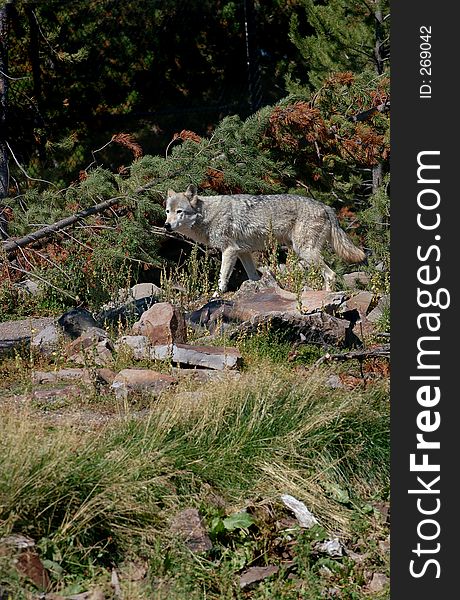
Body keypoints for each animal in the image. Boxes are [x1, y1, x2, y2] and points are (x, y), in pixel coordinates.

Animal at [164, 185, 364, 292]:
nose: (166, 225)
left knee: (331, 275)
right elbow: (253, 277)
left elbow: (222, 278)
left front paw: (216, 296)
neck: (207, 215)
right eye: (167, 211)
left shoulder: (229, 251)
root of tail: (326, 206)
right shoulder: (242, 253)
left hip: (305, 252)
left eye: (179, 212)